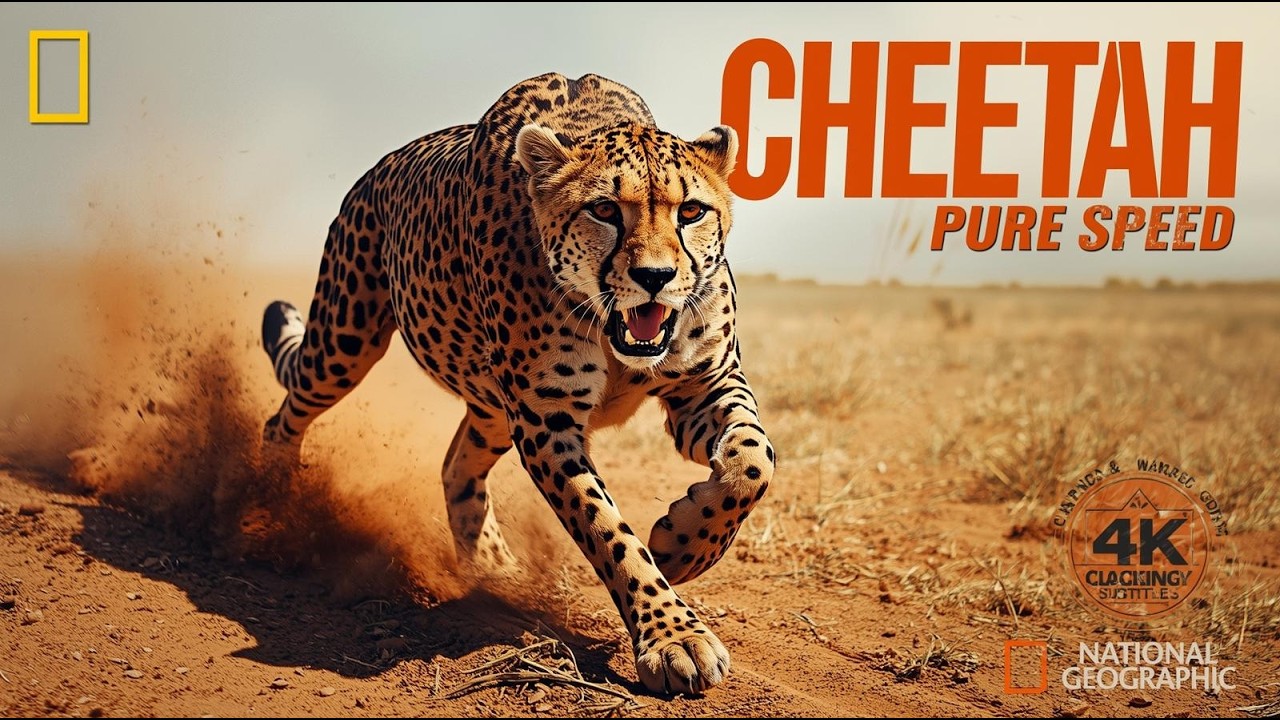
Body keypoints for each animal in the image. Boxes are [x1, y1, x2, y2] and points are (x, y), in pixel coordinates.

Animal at [260, 73, 774, 694]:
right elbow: (607, 530)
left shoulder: (705, 382)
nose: (655, 277)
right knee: (284, 416)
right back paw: (275, 504)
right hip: (344, 341)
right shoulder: (545, 421)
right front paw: (674, 635)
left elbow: (753, 463)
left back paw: (494, 569)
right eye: (605, 209)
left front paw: (683, 549)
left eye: (692, 211)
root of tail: (379, 167)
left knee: (456, 463)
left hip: (489, 412)